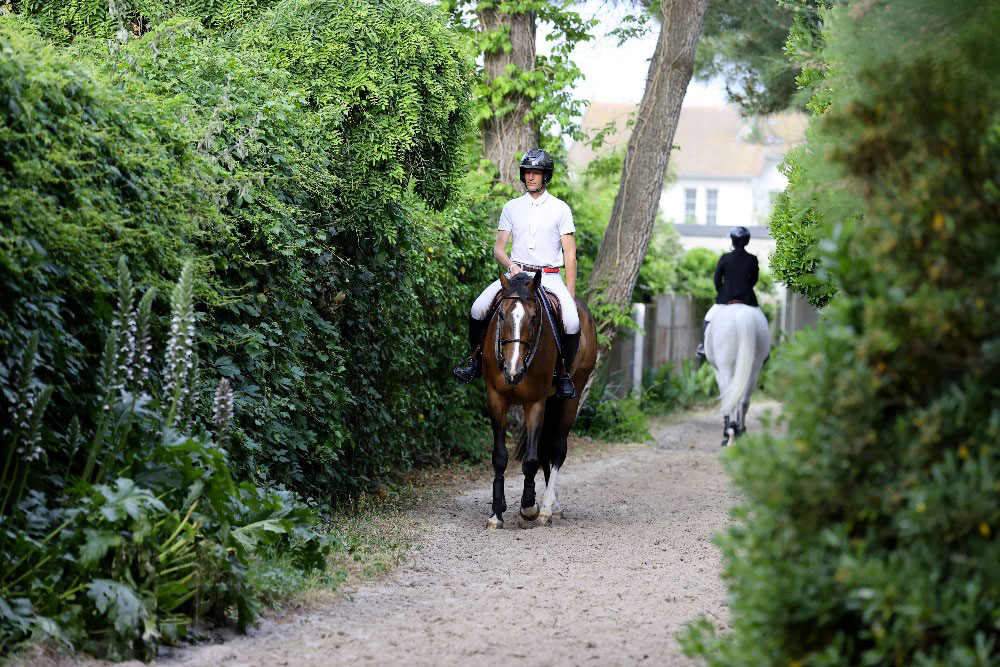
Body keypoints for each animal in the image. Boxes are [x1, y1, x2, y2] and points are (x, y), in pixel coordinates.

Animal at [482, 270, 592, 528]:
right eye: (501, 315)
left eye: (533, 318)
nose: (513, 371)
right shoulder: (496, 398)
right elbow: (500, 456)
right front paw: (496, 513)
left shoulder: (535, 402)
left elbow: (531, 460)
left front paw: (529, 508)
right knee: (545, 449)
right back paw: (552, 506)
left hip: (569, 397)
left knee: (557, 448)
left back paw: (547, 509)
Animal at [704, 302, 772, 448]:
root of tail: (742, 313)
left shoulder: (717, 371)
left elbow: (725, 399)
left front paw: (726, 434)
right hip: (754, 369)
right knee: (744, 401)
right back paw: (740, 432)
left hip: (726, 367)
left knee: (731, 399)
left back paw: (731, 435)